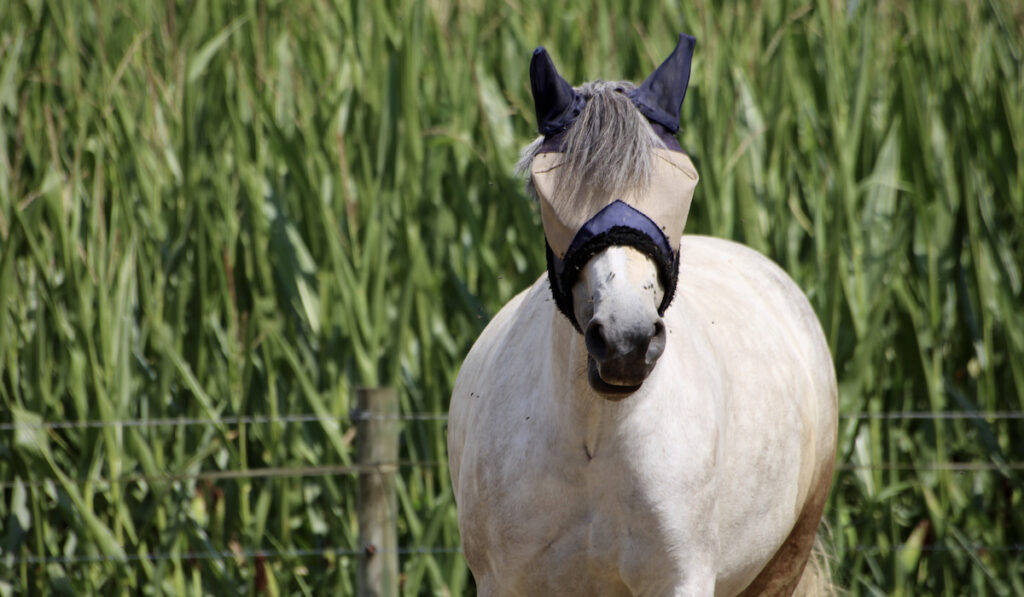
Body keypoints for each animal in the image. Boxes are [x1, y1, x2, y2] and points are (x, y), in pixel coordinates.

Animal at [448, 35, 839, 593]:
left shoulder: (681, 579)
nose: (625, 342)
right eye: (547, 191)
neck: (594, 438)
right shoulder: (505, 581)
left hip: (785, 560)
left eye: (684, 182)